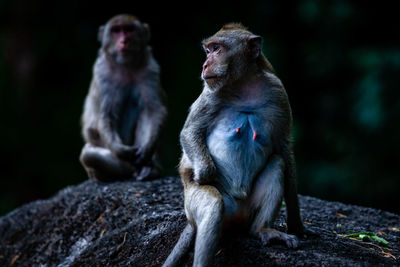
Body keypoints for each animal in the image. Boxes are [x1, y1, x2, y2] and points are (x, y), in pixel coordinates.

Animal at [162, 23, 304, 267]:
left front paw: (296, 223)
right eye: (208, 50)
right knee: (213, 208)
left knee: (277, 164)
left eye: (216, 49)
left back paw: (262, 230)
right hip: (194, 206)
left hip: (248, 212)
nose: (205, 64)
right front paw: (205, 174)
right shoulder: (210, 93)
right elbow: (190, 132)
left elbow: (284, 148)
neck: (244, 84)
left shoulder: (278, 91)